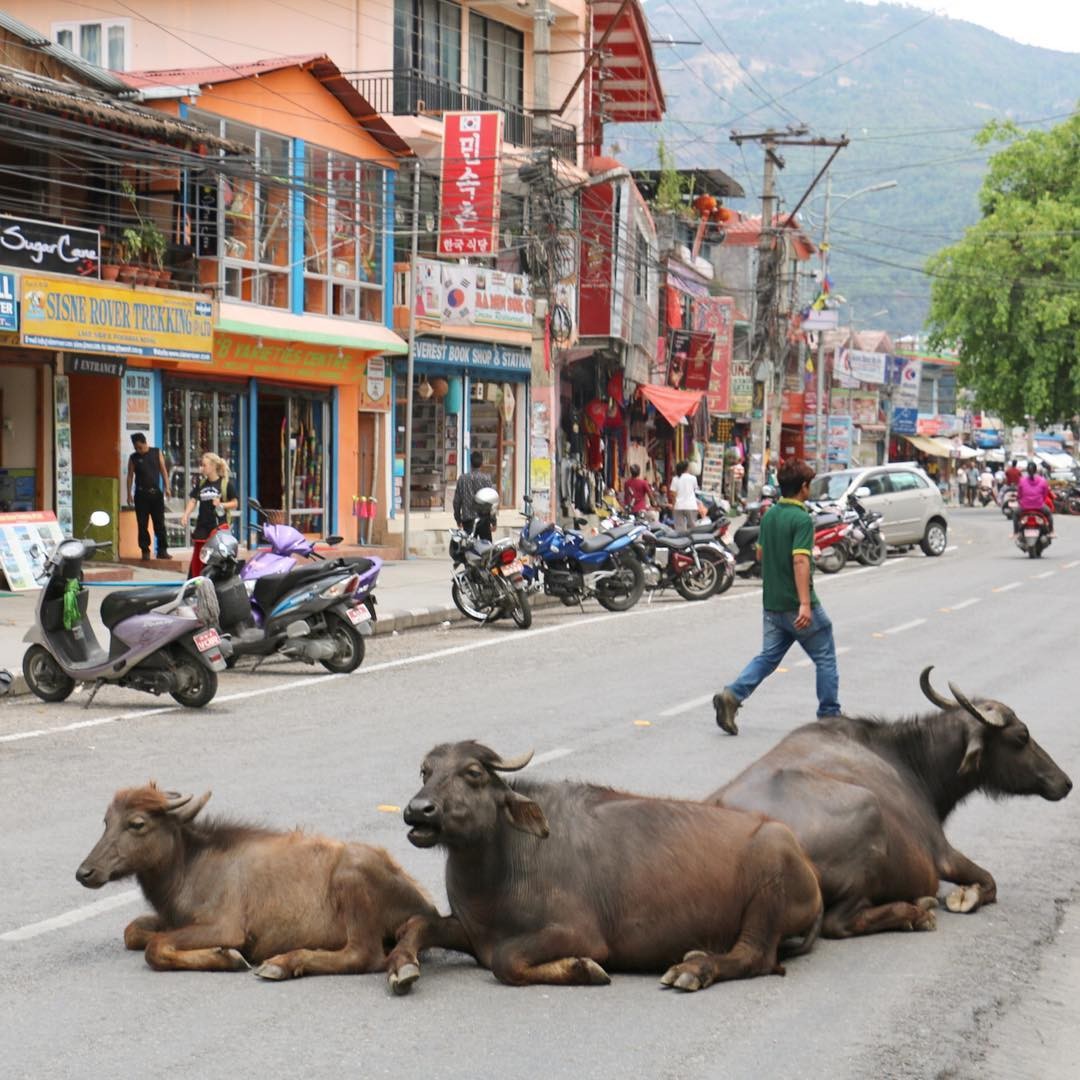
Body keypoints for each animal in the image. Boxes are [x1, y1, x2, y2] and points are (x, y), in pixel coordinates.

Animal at [72, 786, 438, 980]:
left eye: (137, 823)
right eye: (106, 821)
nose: (85, 872)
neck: (187, 870)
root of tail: (425, 905)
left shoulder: (226, 926)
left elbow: (156, 947)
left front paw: (228, 956)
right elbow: (133, 931)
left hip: (352, 882)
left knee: (364, 955)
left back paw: (280, 964)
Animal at [384, 743, 820, 993]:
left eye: (473, 773)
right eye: (426, 771)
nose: (419, 811)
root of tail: (806, 867)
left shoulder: (579, 932)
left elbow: (505, 960)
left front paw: (584, 969)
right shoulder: (471, 930)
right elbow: (417, 924)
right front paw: (401, 967)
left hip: (769, 888)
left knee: (755, 956)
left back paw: (692, 971)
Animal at [708, 665, 1071, 937]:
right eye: (1021, 736)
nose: (1065, 782)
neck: (908, 761)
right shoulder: (943, 853)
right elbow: (989, 881)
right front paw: (963, 897)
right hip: (868, 819)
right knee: (838, 923)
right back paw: (917, 912)